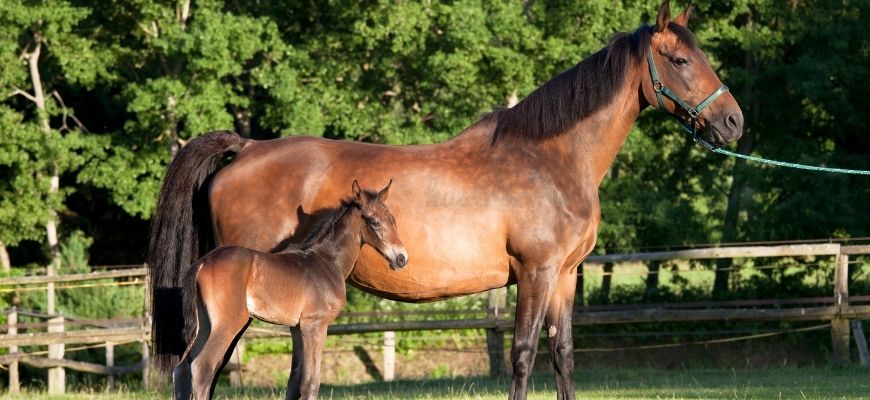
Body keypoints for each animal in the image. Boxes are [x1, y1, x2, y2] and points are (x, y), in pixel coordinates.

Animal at [172, 181, 408, 400]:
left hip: (204, 323)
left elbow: (294, 382)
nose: (402, 258)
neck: (328, 262)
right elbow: (311, 382)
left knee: (182, 369)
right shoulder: (315, 325)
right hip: (228, 323)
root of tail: (203, 262)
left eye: (393, 220)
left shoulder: (296, 328)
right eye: (374, 222)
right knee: (201, 367)